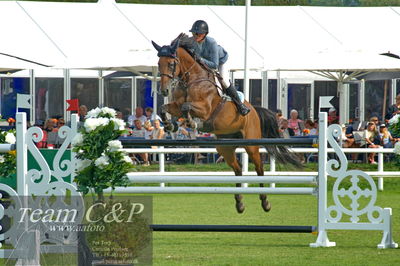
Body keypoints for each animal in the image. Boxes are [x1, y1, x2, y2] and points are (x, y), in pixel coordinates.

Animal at [152, 33, 302, 213]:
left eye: (171, 63)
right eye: (158, 63)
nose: (164, 91)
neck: (191, 79)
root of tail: (254, 111)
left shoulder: (205, 109)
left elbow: (186, 106)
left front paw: (192, 123)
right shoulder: (175, 104)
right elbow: (165, 108)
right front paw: (170, 125)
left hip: (251, 144)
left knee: (259, 168)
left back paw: (265, 202)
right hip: (225, 147)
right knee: (237, 169)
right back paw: (239, 203)